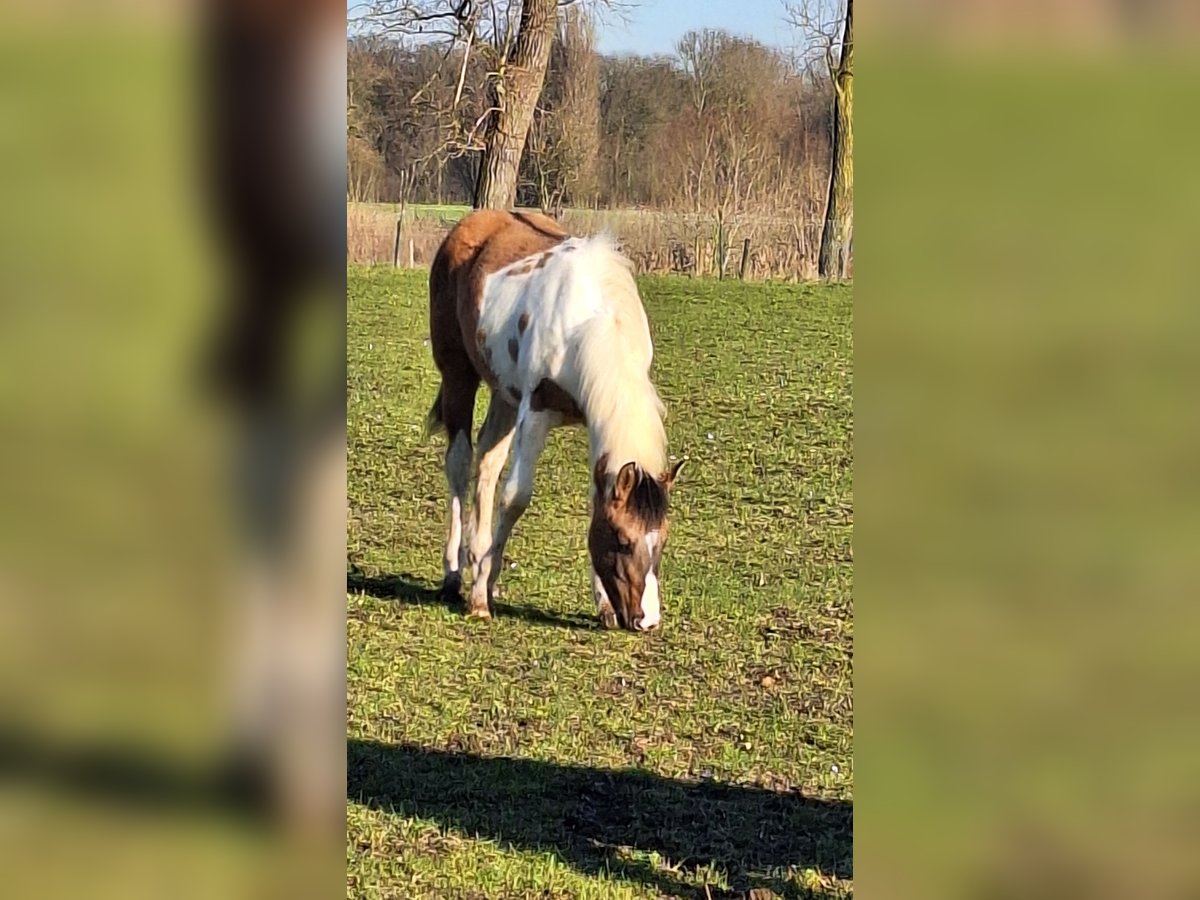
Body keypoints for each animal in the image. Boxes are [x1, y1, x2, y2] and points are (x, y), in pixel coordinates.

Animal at [424, 210, 686, 633]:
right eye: (622, 539)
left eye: (660, 539)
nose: (646, 621)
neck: (589, 321)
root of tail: (472, 222)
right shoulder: (536, 410)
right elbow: (515, 497)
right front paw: (479, 598)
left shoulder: (594, 419)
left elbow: (595, 498)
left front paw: (604, 607)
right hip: (458, 374)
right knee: (460, 464)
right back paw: (453, 575)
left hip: (504, 392)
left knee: (487, 463)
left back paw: (479, 560)